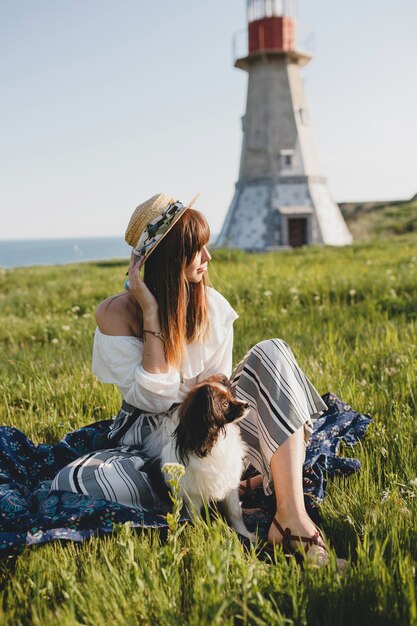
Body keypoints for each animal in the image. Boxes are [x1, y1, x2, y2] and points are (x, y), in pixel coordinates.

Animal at [143, 372, 254, 540]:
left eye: (232, 396)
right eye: (225, 404)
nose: (247, 404)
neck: (213, 441)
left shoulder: (230, 486)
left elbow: (235, 514)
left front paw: (246, 536)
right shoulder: (193, 496)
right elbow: (196, 519)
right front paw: (202, 534)